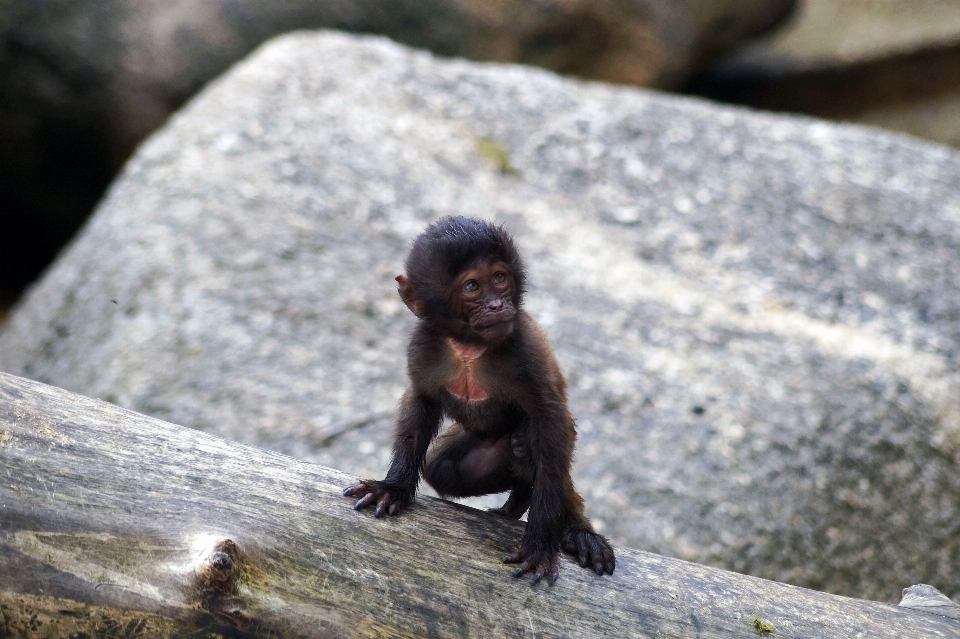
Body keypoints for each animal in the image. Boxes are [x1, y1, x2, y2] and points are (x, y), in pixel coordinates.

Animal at [346, 218, 616, 584]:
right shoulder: (423, 346)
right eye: (472, 286)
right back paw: (519, 495)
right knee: (441, 467)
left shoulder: (525, 348)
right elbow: (420, 402)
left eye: (499, 278)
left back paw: (576, 531)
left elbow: (553, 423)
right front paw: (394, 487)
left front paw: (541, 543)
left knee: (535, 444)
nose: (497, 306)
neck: (470, 348)